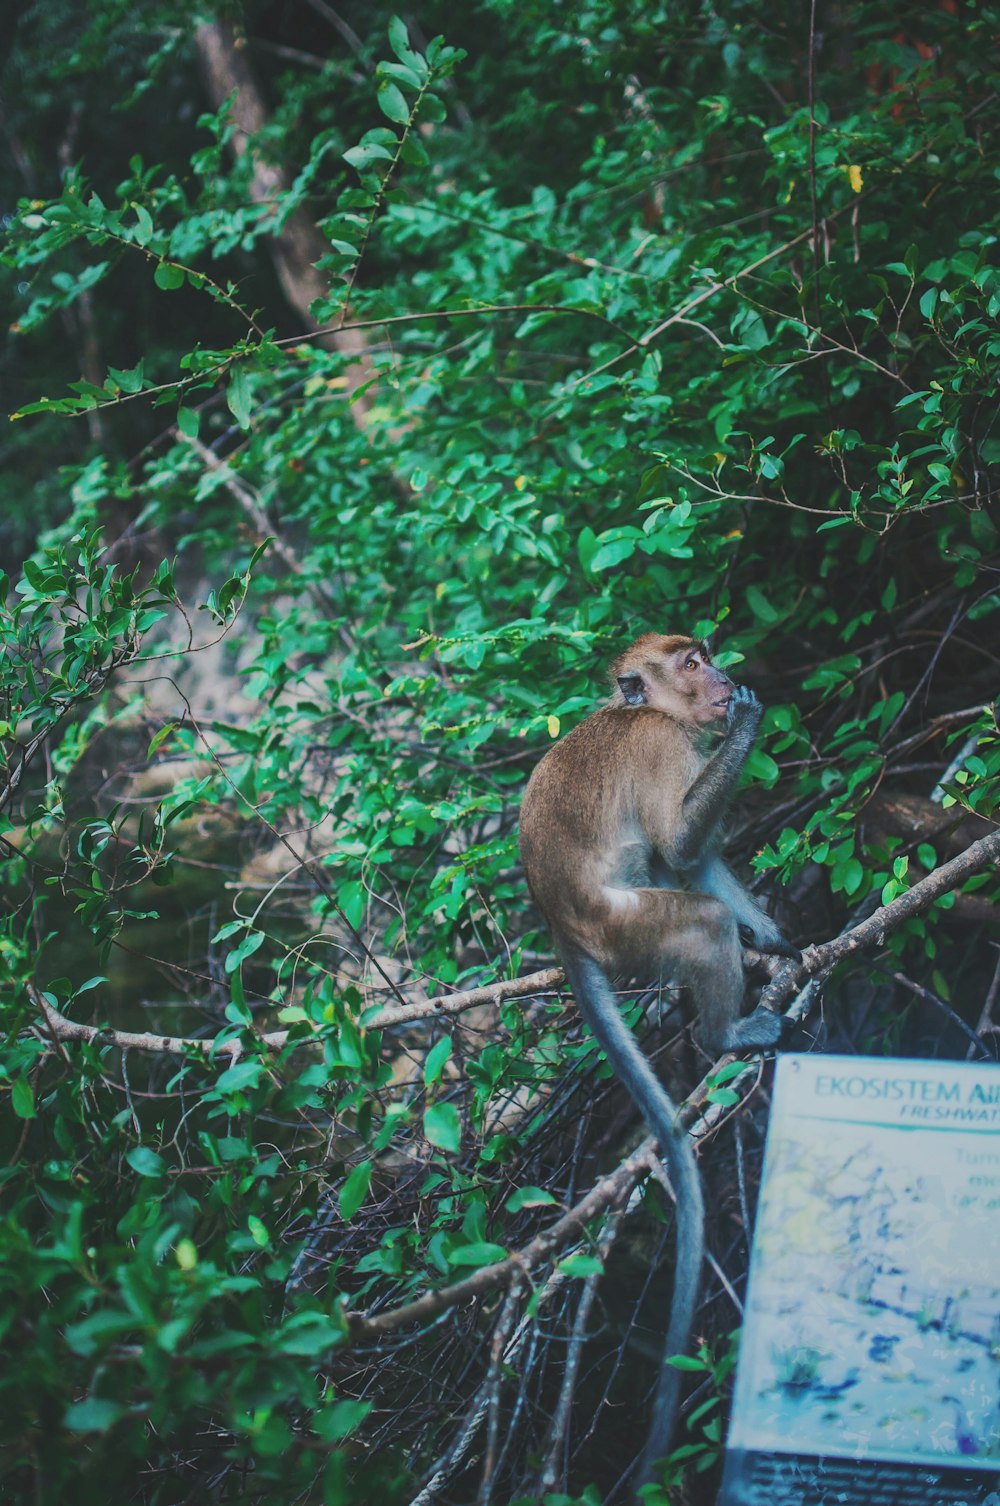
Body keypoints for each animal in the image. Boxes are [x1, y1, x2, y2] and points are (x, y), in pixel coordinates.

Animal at [515, 629, 795, 1487]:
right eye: (693, 662)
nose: (726, 674)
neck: (642, 712)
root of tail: (564, 929)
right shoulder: (662, 744)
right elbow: (679, 845)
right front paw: (748, 719)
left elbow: (693, 859)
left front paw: (775, 940)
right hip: (627, 927)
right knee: (695, 915)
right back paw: (724, 1037)